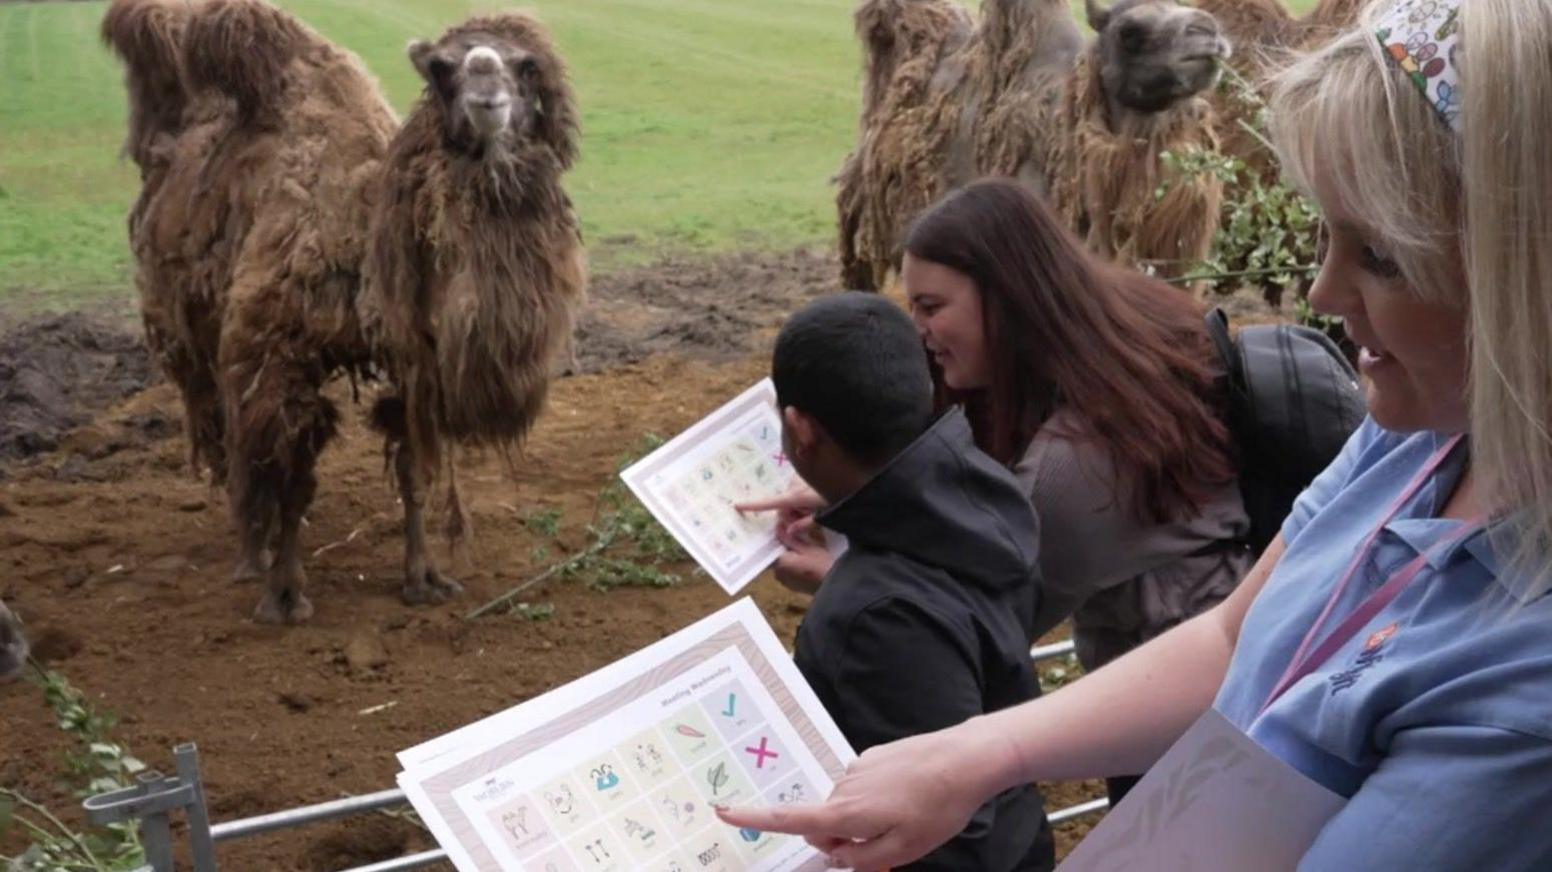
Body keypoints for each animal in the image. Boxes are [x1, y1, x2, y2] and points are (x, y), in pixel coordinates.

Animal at [363, 11, 586, 605]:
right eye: (441, 69)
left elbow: (418, 463)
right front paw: (419, 580)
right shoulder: (415, 357)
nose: (484, 70)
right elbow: (415, 466)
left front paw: (428, 574)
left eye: (527, 65)